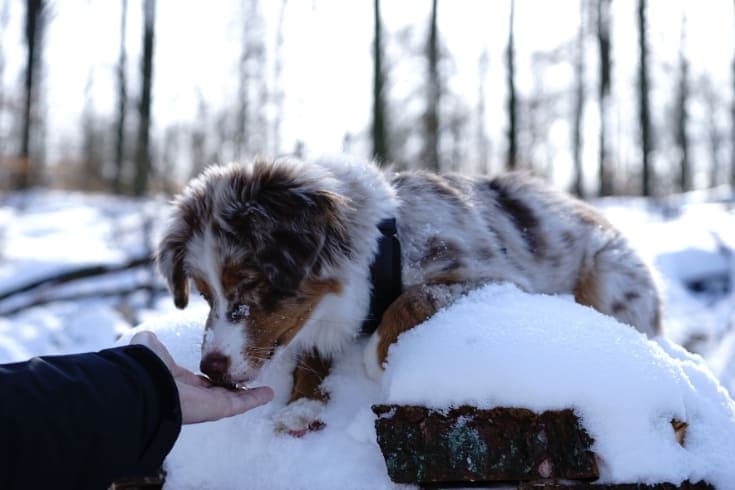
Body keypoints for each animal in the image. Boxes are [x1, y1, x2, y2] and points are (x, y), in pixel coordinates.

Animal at [155, 156, 660, 432]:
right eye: (204, 294)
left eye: (252, 283)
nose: (211, 368)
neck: (381, 250)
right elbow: (312, 351)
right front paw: (302, 406)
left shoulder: (494, 277)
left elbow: (413, 300)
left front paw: (377, 357)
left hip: (609, 273)